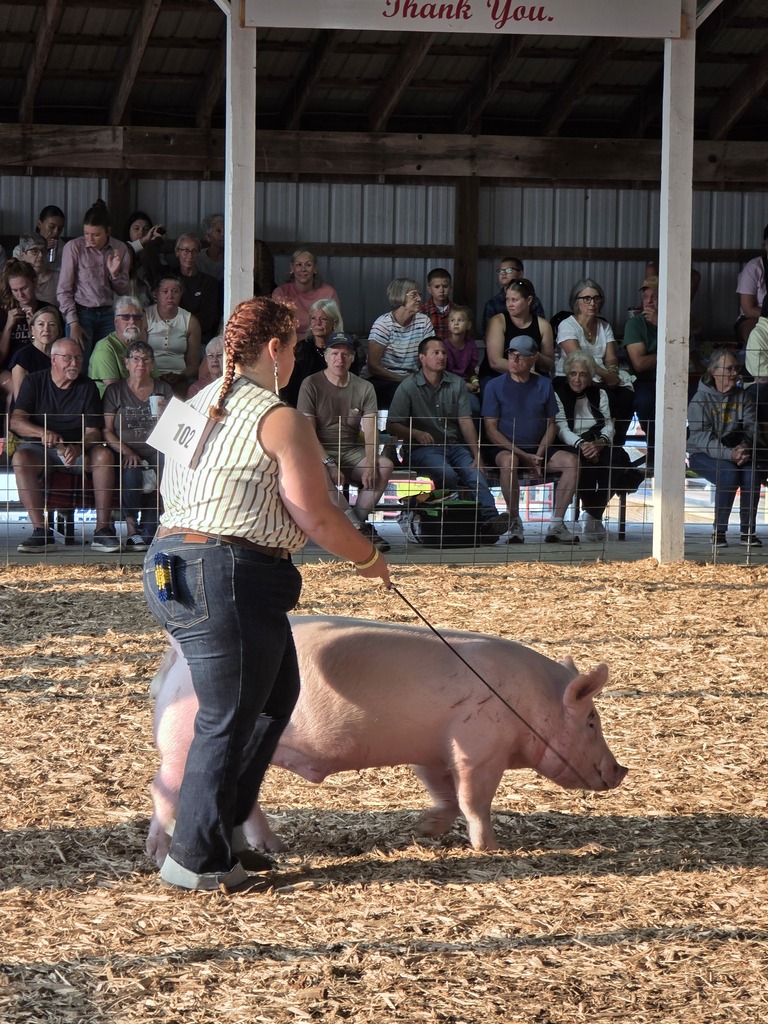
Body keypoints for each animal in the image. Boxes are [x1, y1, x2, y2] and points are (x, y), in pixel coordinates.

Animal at [146, 615, 627, 865]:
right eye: (591, 721)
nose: (622, 770)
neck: (527, 704)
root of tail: (176, 659)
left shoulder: (433, 751)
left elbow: (445, 793)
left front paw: (425, 828)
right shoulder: (479, 747)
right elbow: (473, 799)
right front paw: (488, 848)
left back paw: (271, 848)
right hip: (184, 742)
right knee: (163, 788)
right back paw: (160, 852)